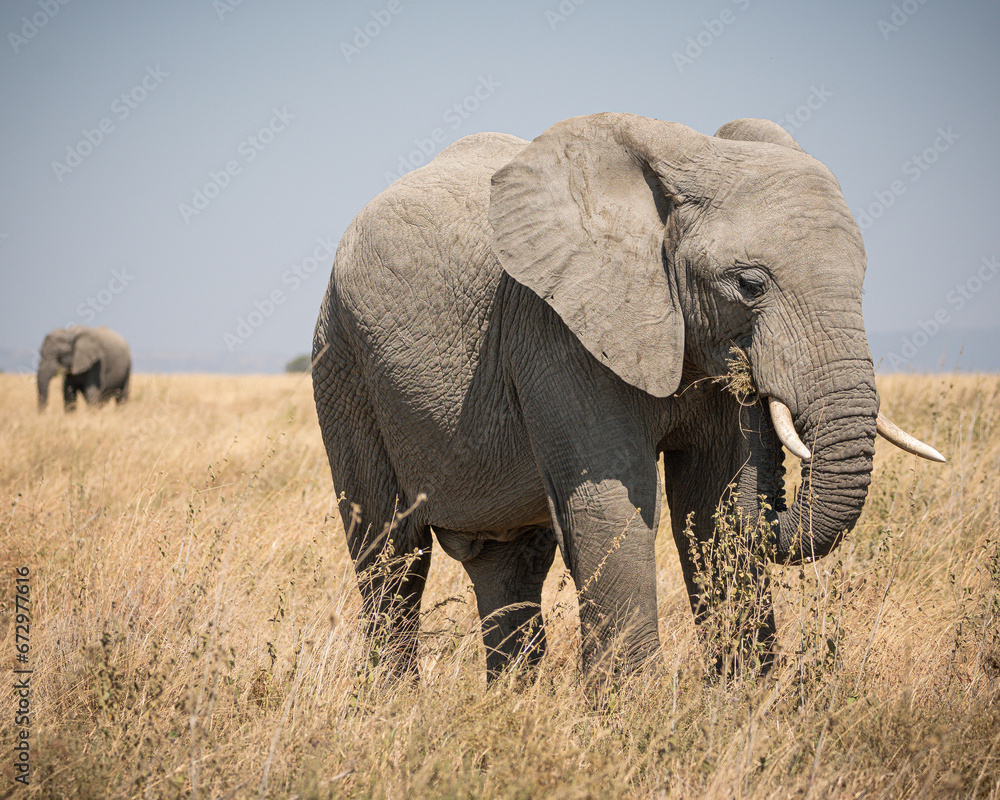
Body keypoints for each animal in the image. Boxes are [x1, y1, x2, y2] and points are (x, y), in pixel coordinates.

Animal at [312, 113, 944, 683]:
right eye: (750, 285)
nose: (758, 385)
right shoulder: (556, 330)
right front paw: (630, 715)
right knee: (391, 554)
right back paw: (393, 706)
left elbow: (712, 501)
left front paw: (745, 703)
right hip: (342, 362)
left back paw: (511, 705)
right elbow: (614, 501)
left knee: (509, 558)